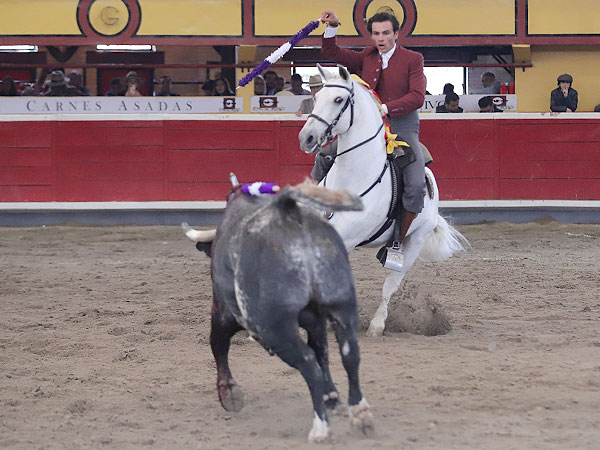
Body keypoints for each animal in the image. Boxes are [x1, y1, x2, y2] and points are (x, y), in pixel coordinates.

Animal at [185, 184, 376, 442]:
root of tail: (288, 213)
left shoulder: (223, 313)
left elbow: (218, 345)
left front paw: (230, 394)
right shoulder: (316, 322)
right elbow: (322, 351)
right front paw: (331, 397)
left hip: (274, 327)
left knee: (308, 363)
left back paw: (320, 428)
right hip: (341, 305)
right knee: (349, 355)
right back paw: (360, 414)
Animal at [298, 65, 466, 336]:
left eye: (338, 99)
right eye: (317, 97)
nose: (307, 137)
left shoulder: (346, 239)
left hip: (414, 241)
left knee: (391, 283)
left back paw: (377, 324)